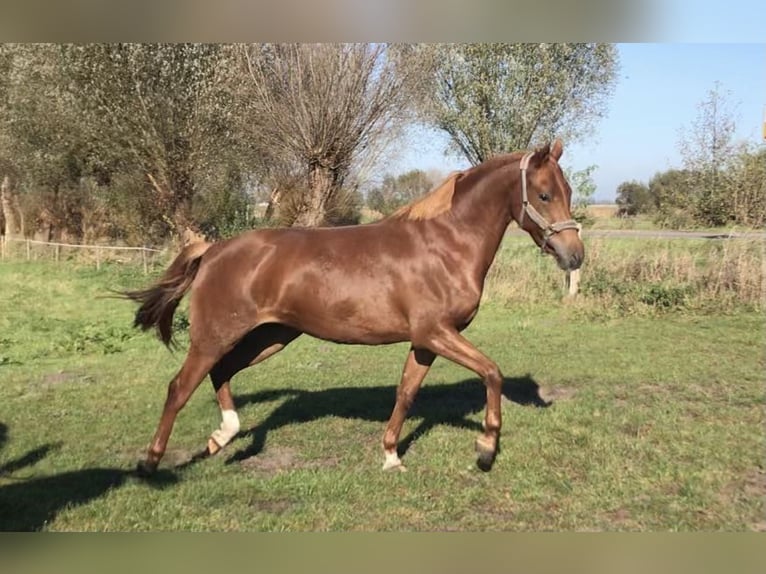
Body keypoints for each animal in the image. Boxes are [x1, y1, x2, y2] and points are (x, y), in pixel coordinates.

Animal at [126, 140, 584, 476]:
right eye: (544, 194)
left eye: (569, 192)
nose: (574, 255)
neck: (446, 245)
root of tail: (214, 250)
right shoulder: (437, 332)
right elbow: (491, 372)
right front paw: (486, 448)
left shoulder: (426, 342)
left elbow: (406, 392)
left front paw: (391, 455)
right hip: (216, 335)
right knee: (180, 388)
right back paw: (151, 463)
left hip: (270, 336)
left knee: (222, 373)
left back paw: (223, 436)